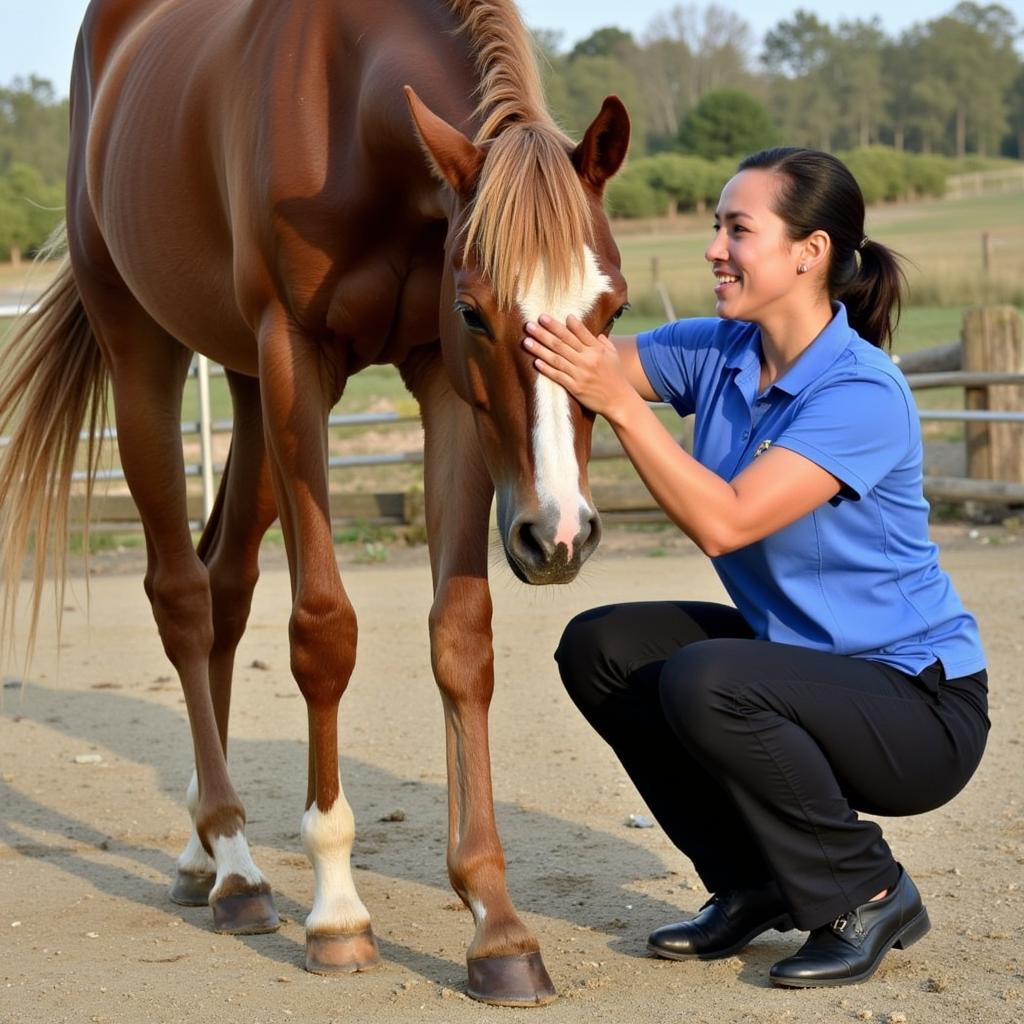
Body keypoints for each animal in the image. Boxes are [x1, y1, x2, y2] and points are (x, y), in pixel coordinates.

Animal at [0, 0, 630, 1007]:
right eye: (478, 312)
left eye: (611, 312)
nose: (559, 534)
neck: (352, 109)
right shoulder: (300, 360)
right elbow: (323, 632)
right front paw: (338, 909)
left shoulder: (437, 383)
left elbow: (461, 638)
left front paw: (496, 925)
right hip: (147, 354)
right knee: (182, 597)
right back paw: (238, 866)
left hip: (246, 387)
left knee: (225, 586)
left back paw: (204, 855)